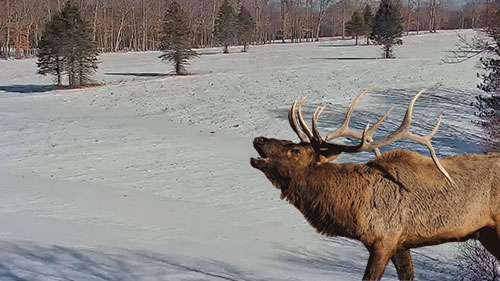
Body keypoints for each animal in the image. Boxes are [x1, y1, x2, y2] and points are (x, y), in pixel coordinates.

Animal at [252, 87, 498, 278]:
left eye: (296, 151)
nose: (259, 139)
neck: (352, 208)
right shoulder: (401, 243)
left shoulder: (384, 240)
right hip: (486, 233)